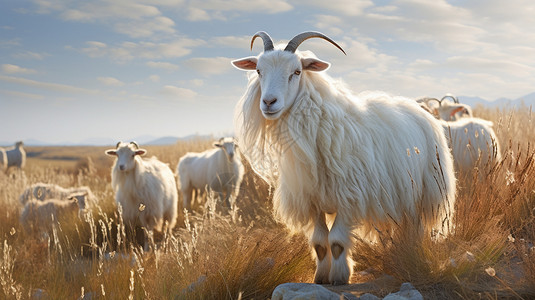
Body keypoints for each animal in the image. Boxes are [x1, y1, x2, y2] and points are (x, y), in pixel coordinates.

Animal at [231, 31, 456, 284]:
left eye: (296, 72)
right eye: (259, 71)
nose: (269, 102)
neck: (320, 127)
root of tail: (418, 108)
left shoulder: (350, 197)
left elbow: (337, 242)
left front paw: (339, 277)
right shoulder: (312, 201)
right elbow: (320, 243)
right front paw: (321, 277)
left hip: (424, 192)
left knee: (416, 228)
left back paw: (412, 255)